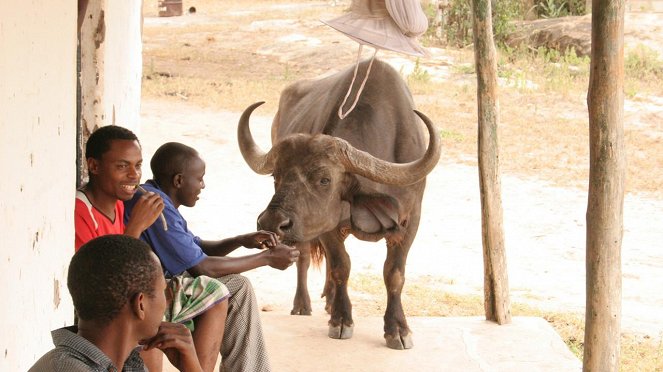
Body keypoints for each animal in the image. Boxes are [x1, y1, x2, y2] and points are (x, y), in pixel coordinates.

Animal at [239, 58, 440, 348]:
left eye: (325, 179)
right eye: (276, 176)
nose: (270, 222)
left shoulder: (410, 220)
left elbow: (394, 273)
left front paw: (398, 329)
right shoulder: (326, 226)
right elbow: (340, 267)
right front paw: (341, 320)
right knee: (304, 256)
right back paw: (304, 304)